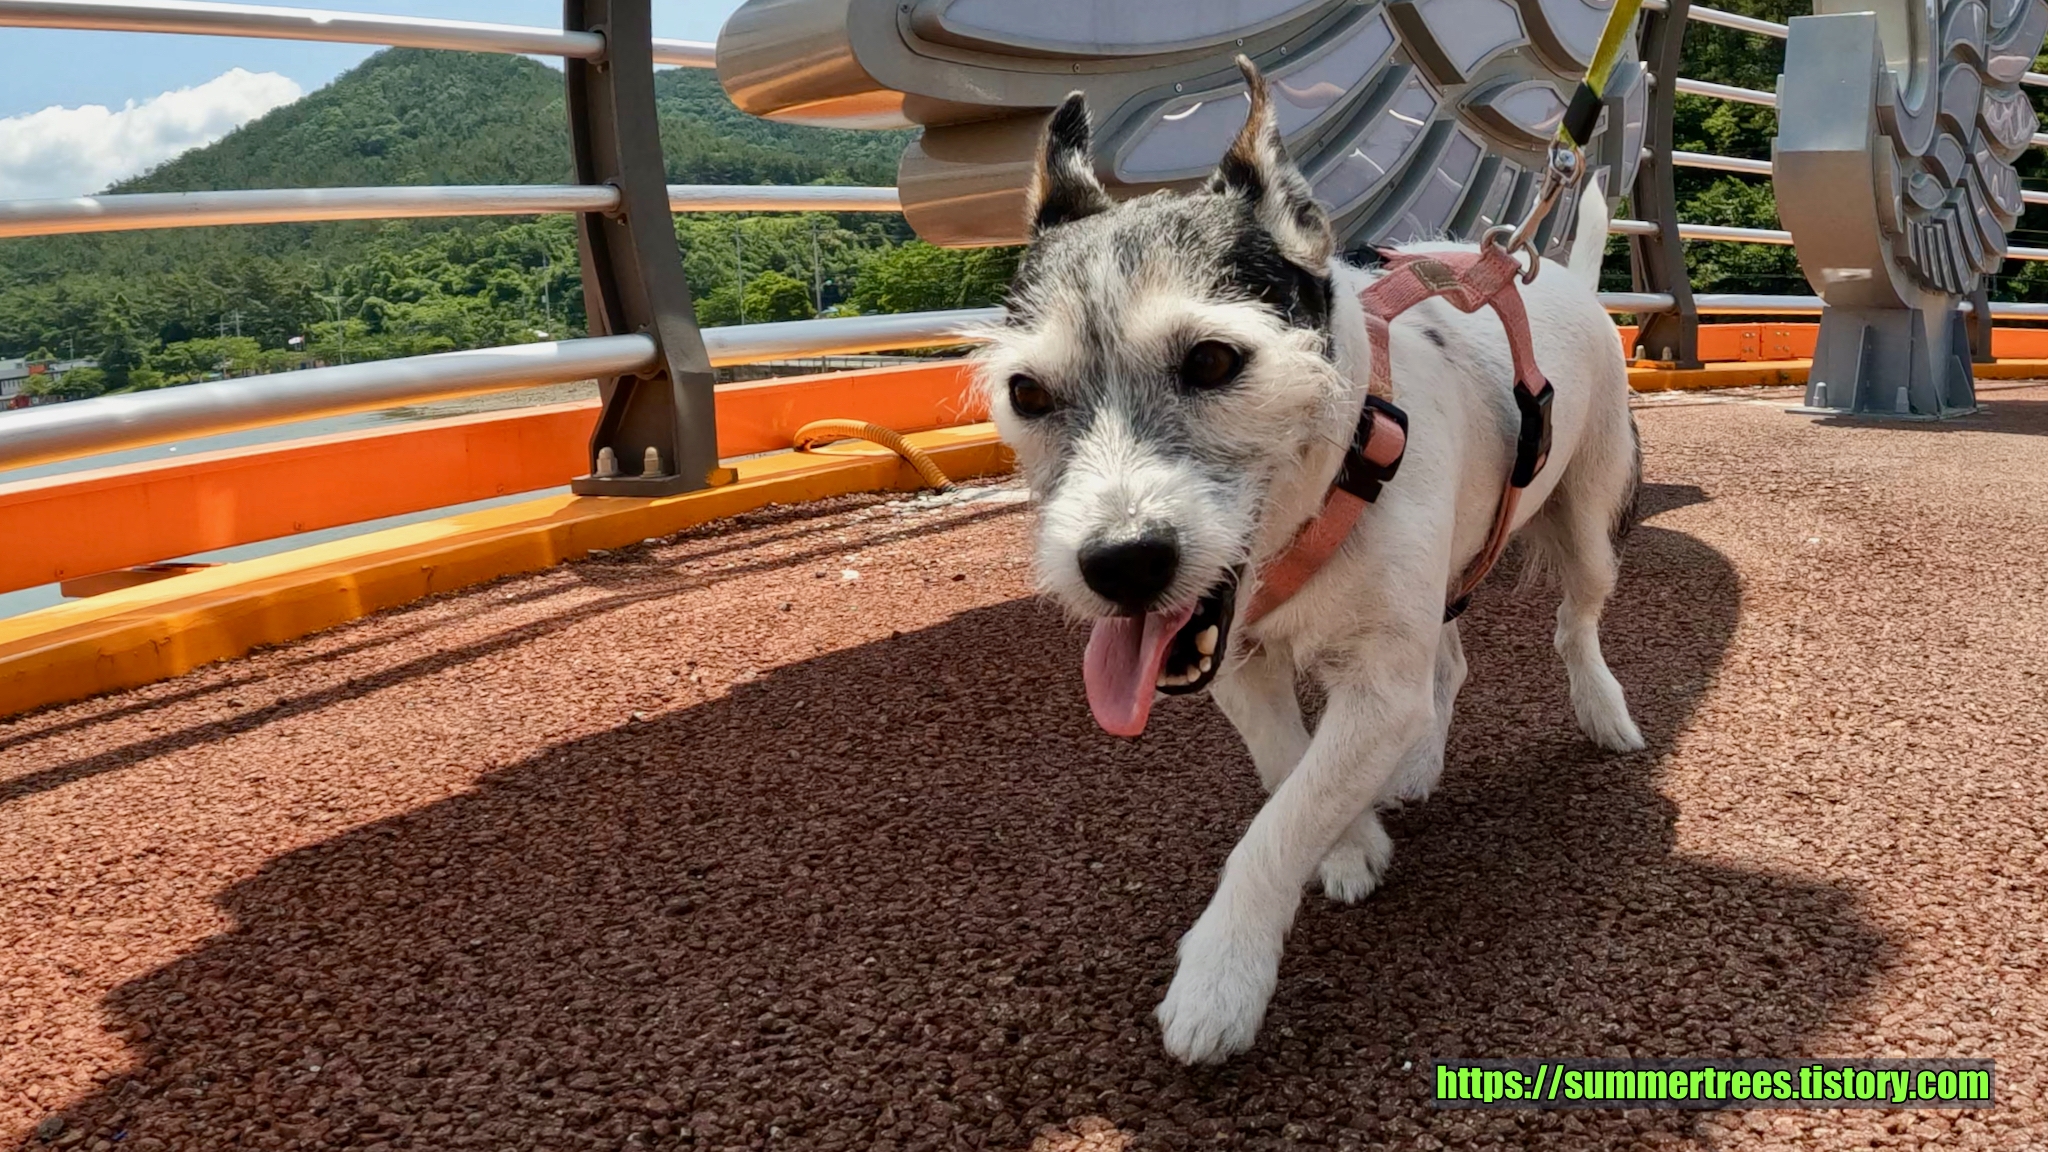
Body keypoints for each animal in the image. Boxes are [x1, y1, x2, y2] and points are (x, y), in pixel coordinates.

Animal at [972, 57, 1647, 1064]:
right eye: (1026, 391)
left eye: (1216, 360)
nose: (1121, 564)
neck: (1325, 488)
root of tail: (1558, 275)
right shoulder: (1242, 667)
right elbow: (1291, 773)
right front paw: (1350, 840)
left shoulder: (1375, 681)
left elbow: (1274, 827)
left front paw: (1221, 976)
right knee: (1449, 662)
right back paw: (1413, 764)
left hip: (1589, 516)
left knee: (1576, 623)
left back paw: (1601, 710)